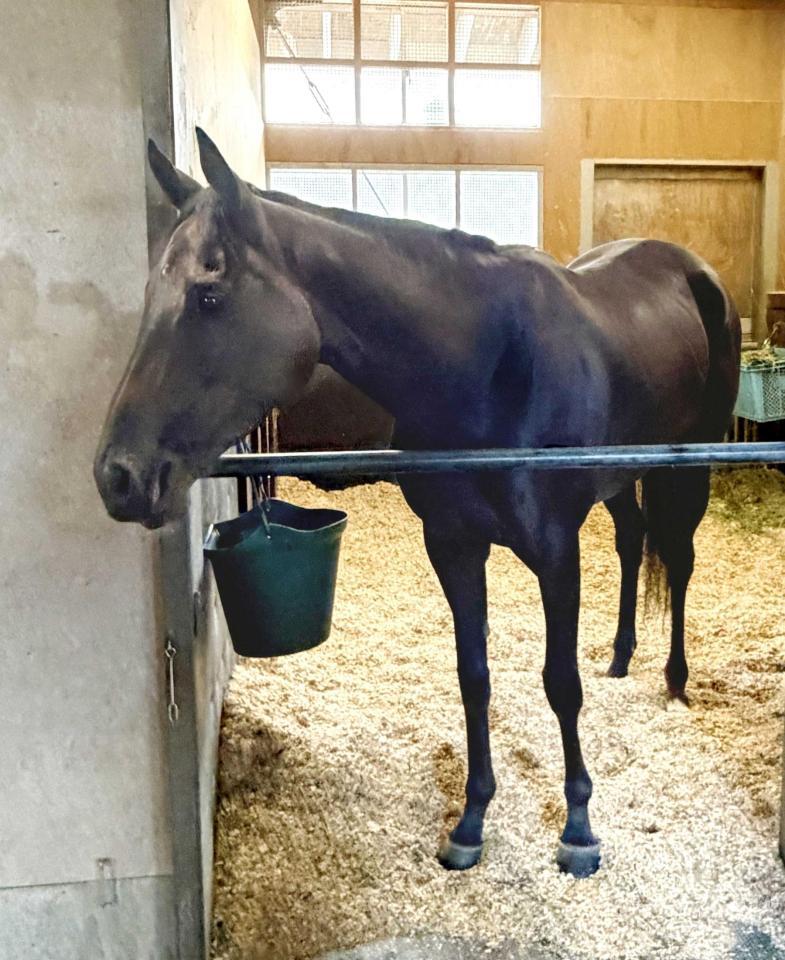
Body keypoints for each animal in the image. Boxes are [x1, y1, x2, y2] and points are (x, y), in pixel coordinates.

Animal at [94, 129, 740, 878]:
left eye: (207, 296)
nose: (117, 476)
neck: (485, 366)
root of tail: (692, 268)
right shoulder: (452, 543)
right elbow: (473, 677)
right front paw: (471, 819)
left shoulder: (555, 551)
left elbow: (559, 681)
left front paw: (578, 827)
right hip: (619, 482)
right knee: (633, 542)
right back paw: (620, 654)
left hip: (690, 466)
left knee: (679, 561)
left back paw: (674, 679)